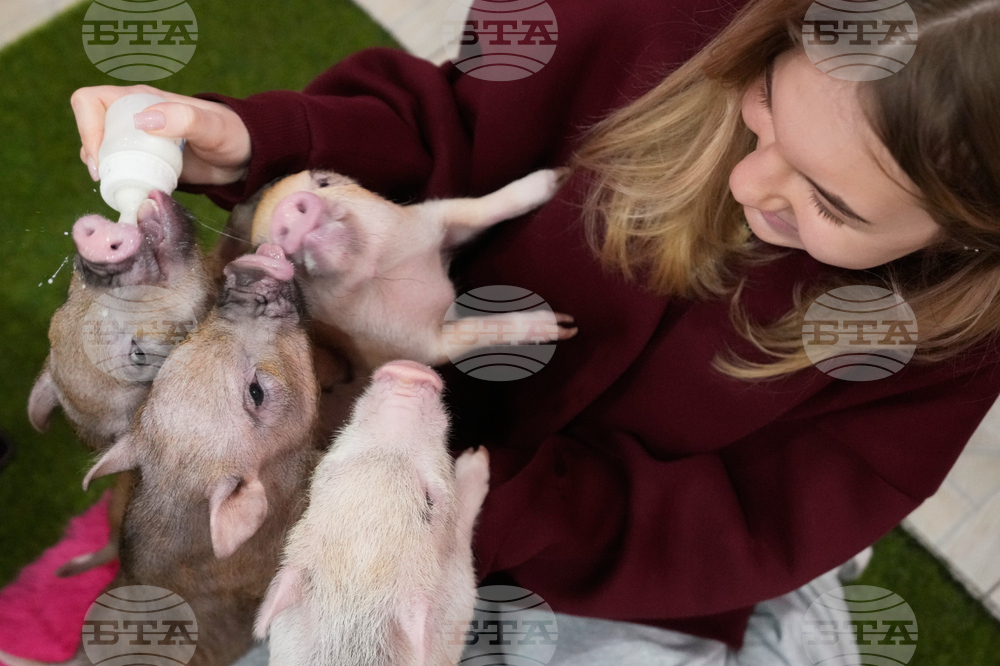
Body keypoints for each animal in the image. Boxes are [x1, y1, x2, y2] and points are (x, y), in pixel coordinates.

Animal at [214, 168, 577, 377]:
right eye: (265, 247)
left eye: (324, 182)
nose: (286, 210)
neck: (382, 271)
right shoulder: (417, 348)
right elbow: (472, 332)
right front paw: (565, 325)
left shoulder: (435, 219)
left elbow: (479, 209)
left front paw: (560, 176)